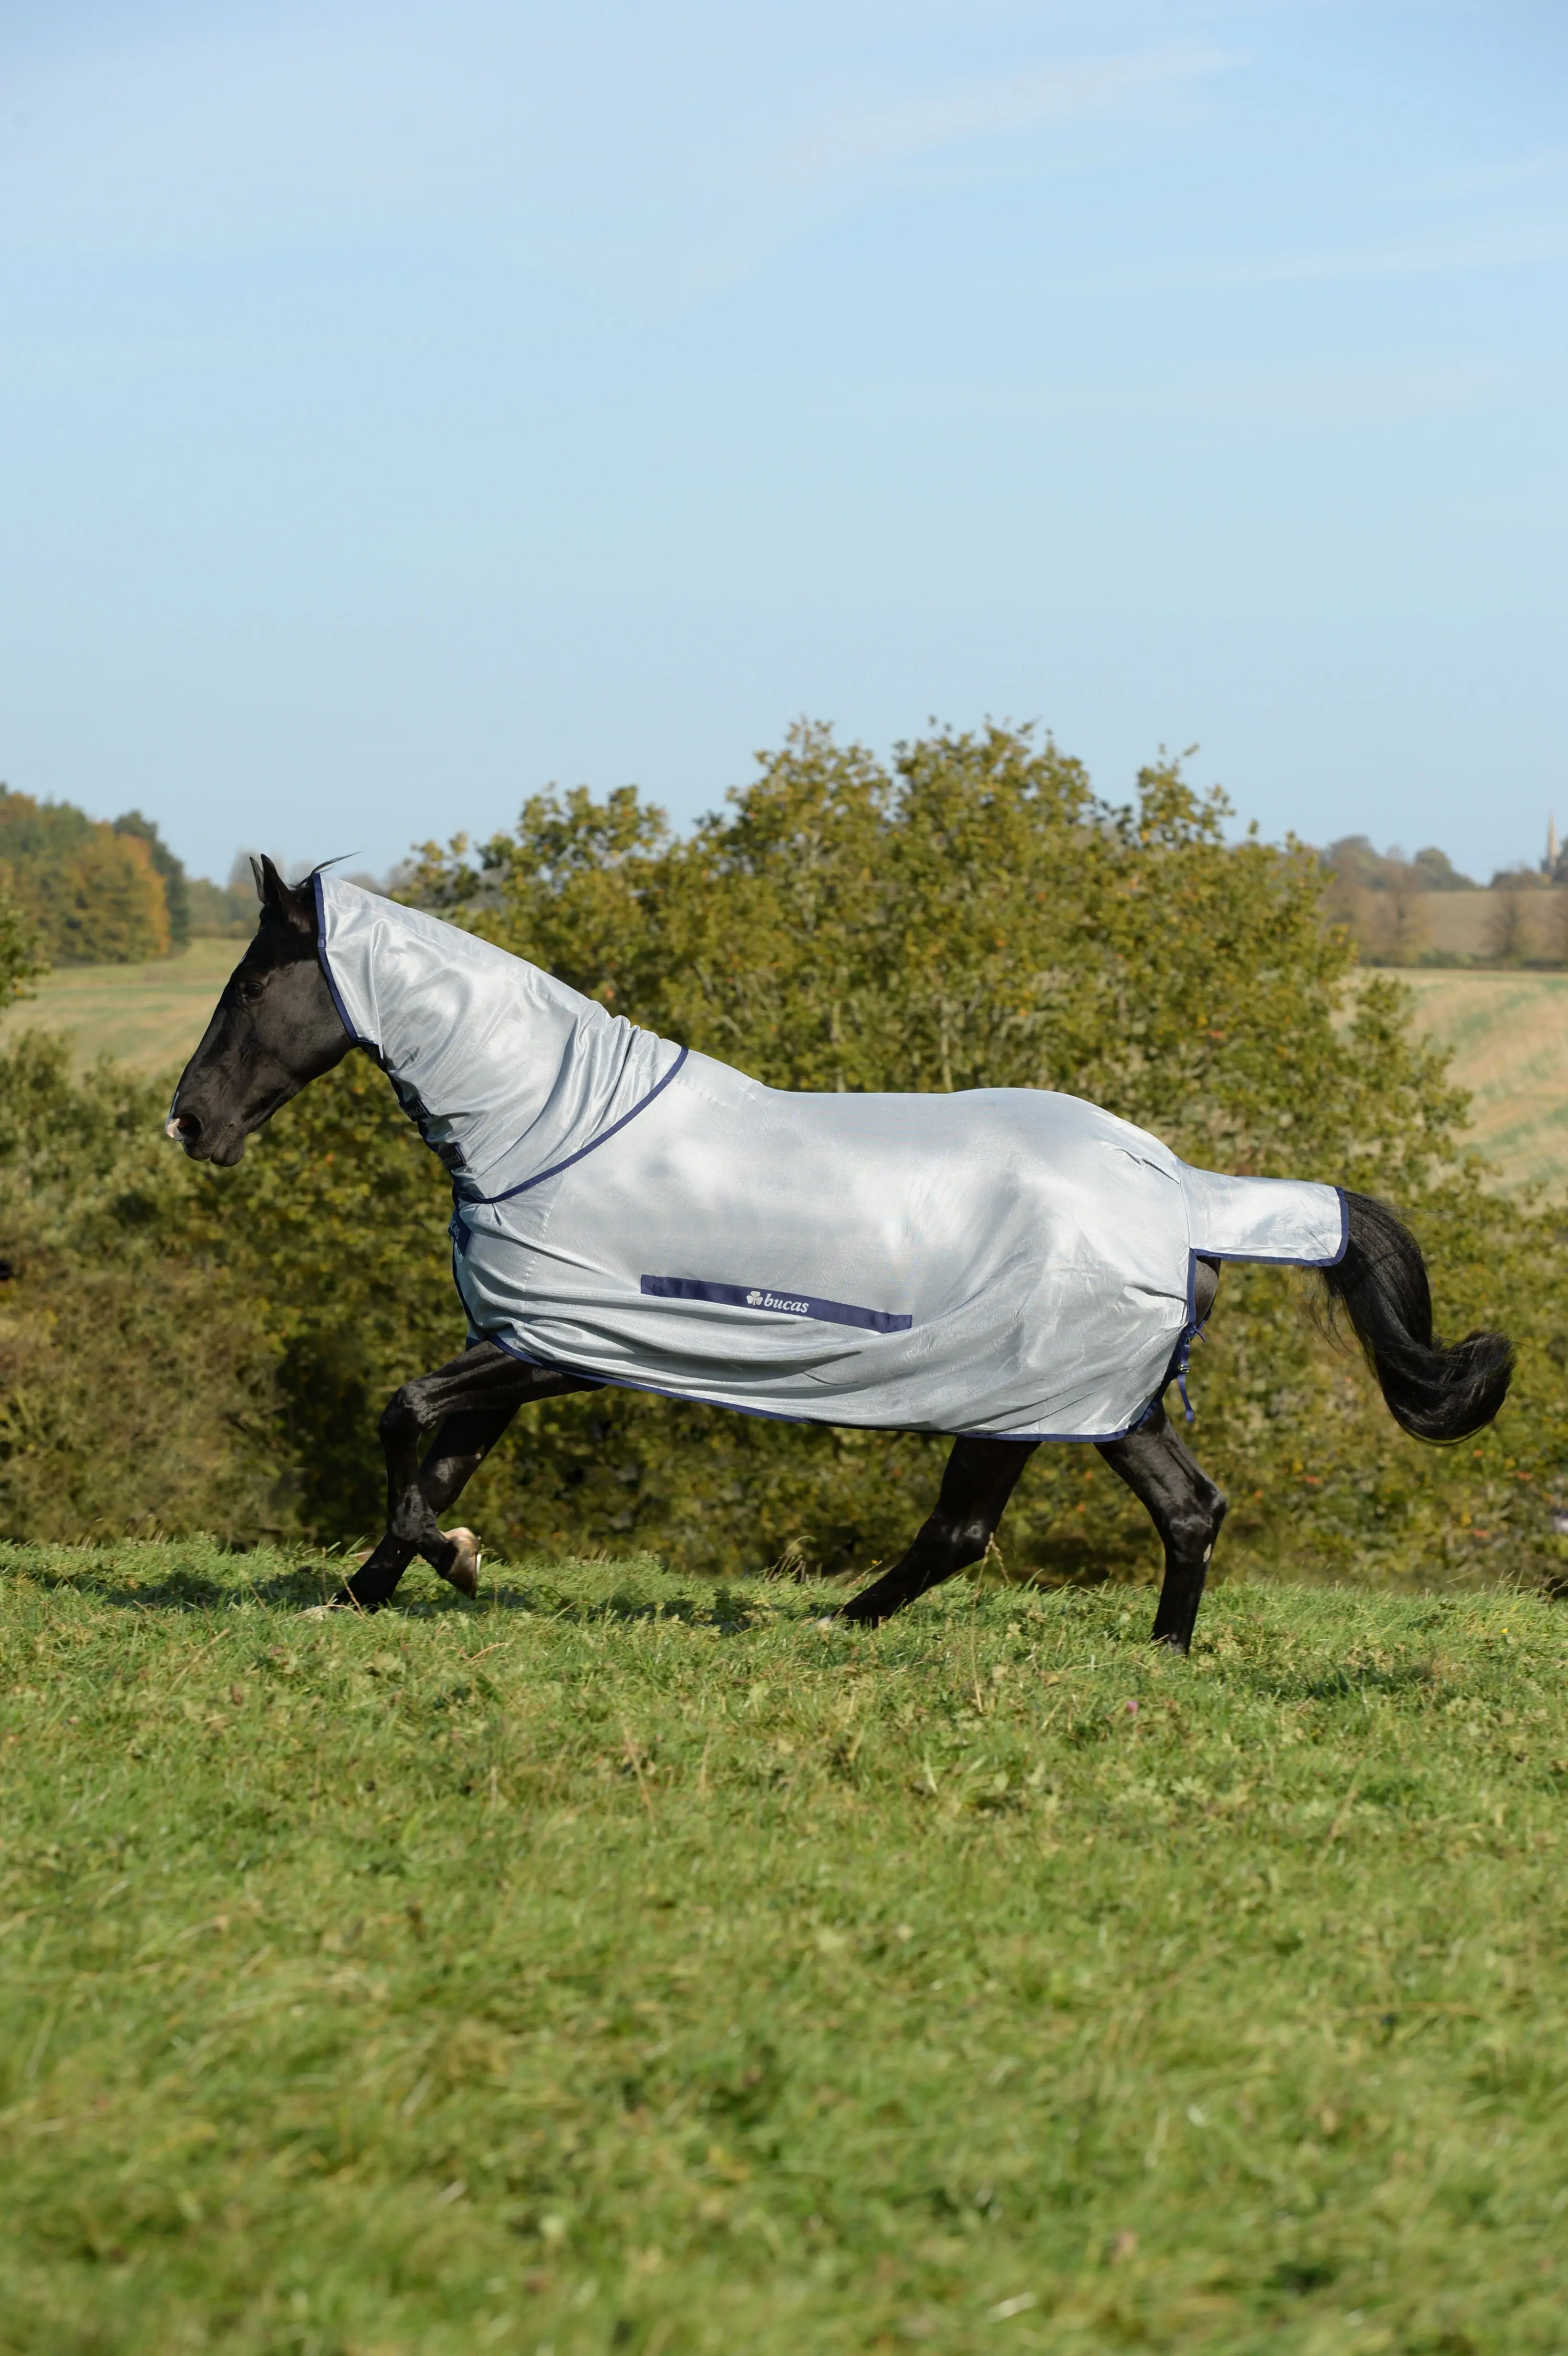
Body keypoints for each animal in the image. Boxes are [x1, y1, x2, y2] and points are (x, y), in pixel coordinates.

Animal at [165, 859, 1513, 1647]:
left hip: (1033, 1398)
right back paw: (1135, 1654)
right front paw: (368, 1591)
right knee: (1165, 1512)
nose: (188, 1123)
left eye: (252, 986)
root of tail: (1184, 1190)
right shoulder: (523, 1337)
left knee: (1005, 1529)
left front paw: (446, 1565)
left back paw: (859, 1629)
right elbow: (434, 1461)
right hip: (1078, 1404)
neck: (551, 1124)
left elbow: (403, 1414)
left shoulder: (557, 1347)